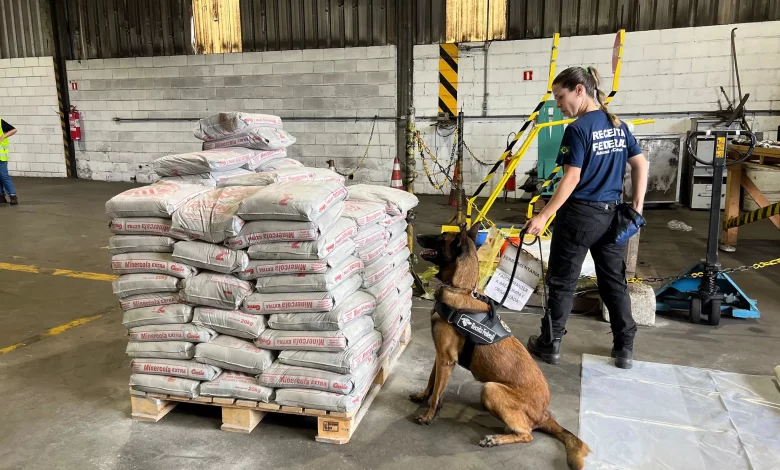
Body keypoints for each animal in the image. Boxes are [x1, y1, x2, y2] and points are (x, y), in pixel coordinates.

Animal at [412, 226, 588, 468]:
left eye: (440, 238)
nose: (417, 236)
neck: (460, 289)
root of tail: (544, 414)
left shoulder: (446, 359)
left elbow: (437, 393)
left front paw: (429, 415)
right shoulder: (440, 356)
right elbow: (431, 383)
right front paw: (422, 397)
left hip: (491, 389)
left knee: (526, 435)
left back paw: (495, 439)